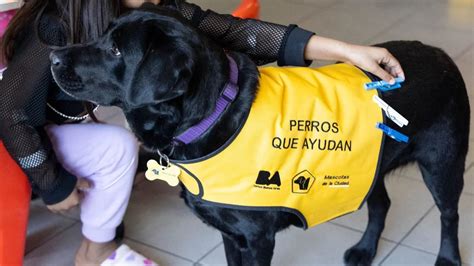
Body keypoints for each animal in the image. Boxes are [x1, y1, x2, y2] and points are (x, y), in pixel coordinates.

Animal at [50, 6, 468, 266]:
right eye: (104, 36)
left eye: (116, 50)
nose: (53, 57)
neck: (214, 116)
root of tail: (440, 52)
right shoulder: (230, 235)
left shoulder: (256, 238)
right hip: (366, 167)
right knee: (380, 204)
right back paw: (365, 250)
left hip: (444, 166)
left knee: (449, 216)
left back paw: (447, 257)